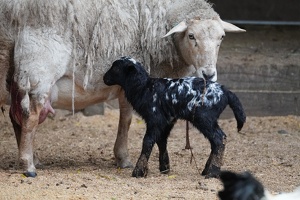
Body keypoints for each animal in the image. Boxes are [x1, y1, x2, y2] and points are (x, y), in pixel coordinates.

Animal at [103, 56, 246, 178]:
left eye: (116, 68)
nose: (104, 78)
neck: (144, 88)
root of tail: (226, 92)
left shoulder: (155, 119)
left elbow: (147, 142)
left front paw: (139, 171)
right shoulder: (167, 121)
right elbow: (161, 141)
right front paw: (165, 168)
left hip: (204, 117)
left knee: (219, 139)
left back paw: (212, 172)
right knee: (215, 141)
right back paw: (206, 170)